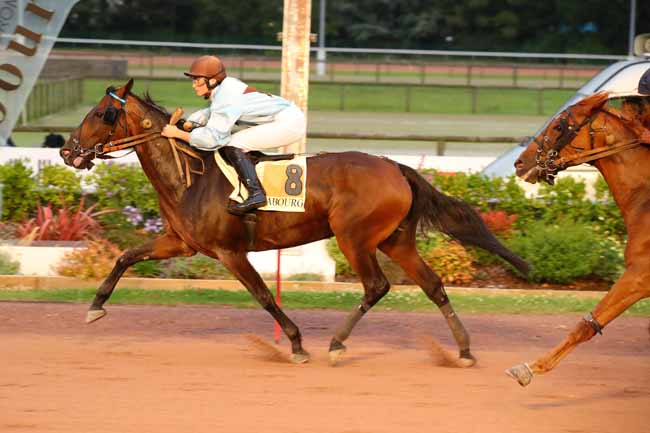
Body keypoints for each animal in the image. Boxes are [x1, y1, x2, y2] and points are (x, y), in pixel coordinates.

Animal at [59, 80, 528, 364]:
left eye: (102, 114)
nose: (67, 151)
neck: (190, 176)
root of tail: (396, 167)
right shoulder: (182, 243)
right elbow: (124, 257)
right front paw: (95, 307)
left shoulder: (230, 252)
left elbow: (265, 295)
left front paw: (298, 343)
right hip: (395, 240)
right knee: (432, 285)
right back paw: (464, 350)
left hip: (355, 237)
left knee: (376, 286)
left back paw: (337, 343)